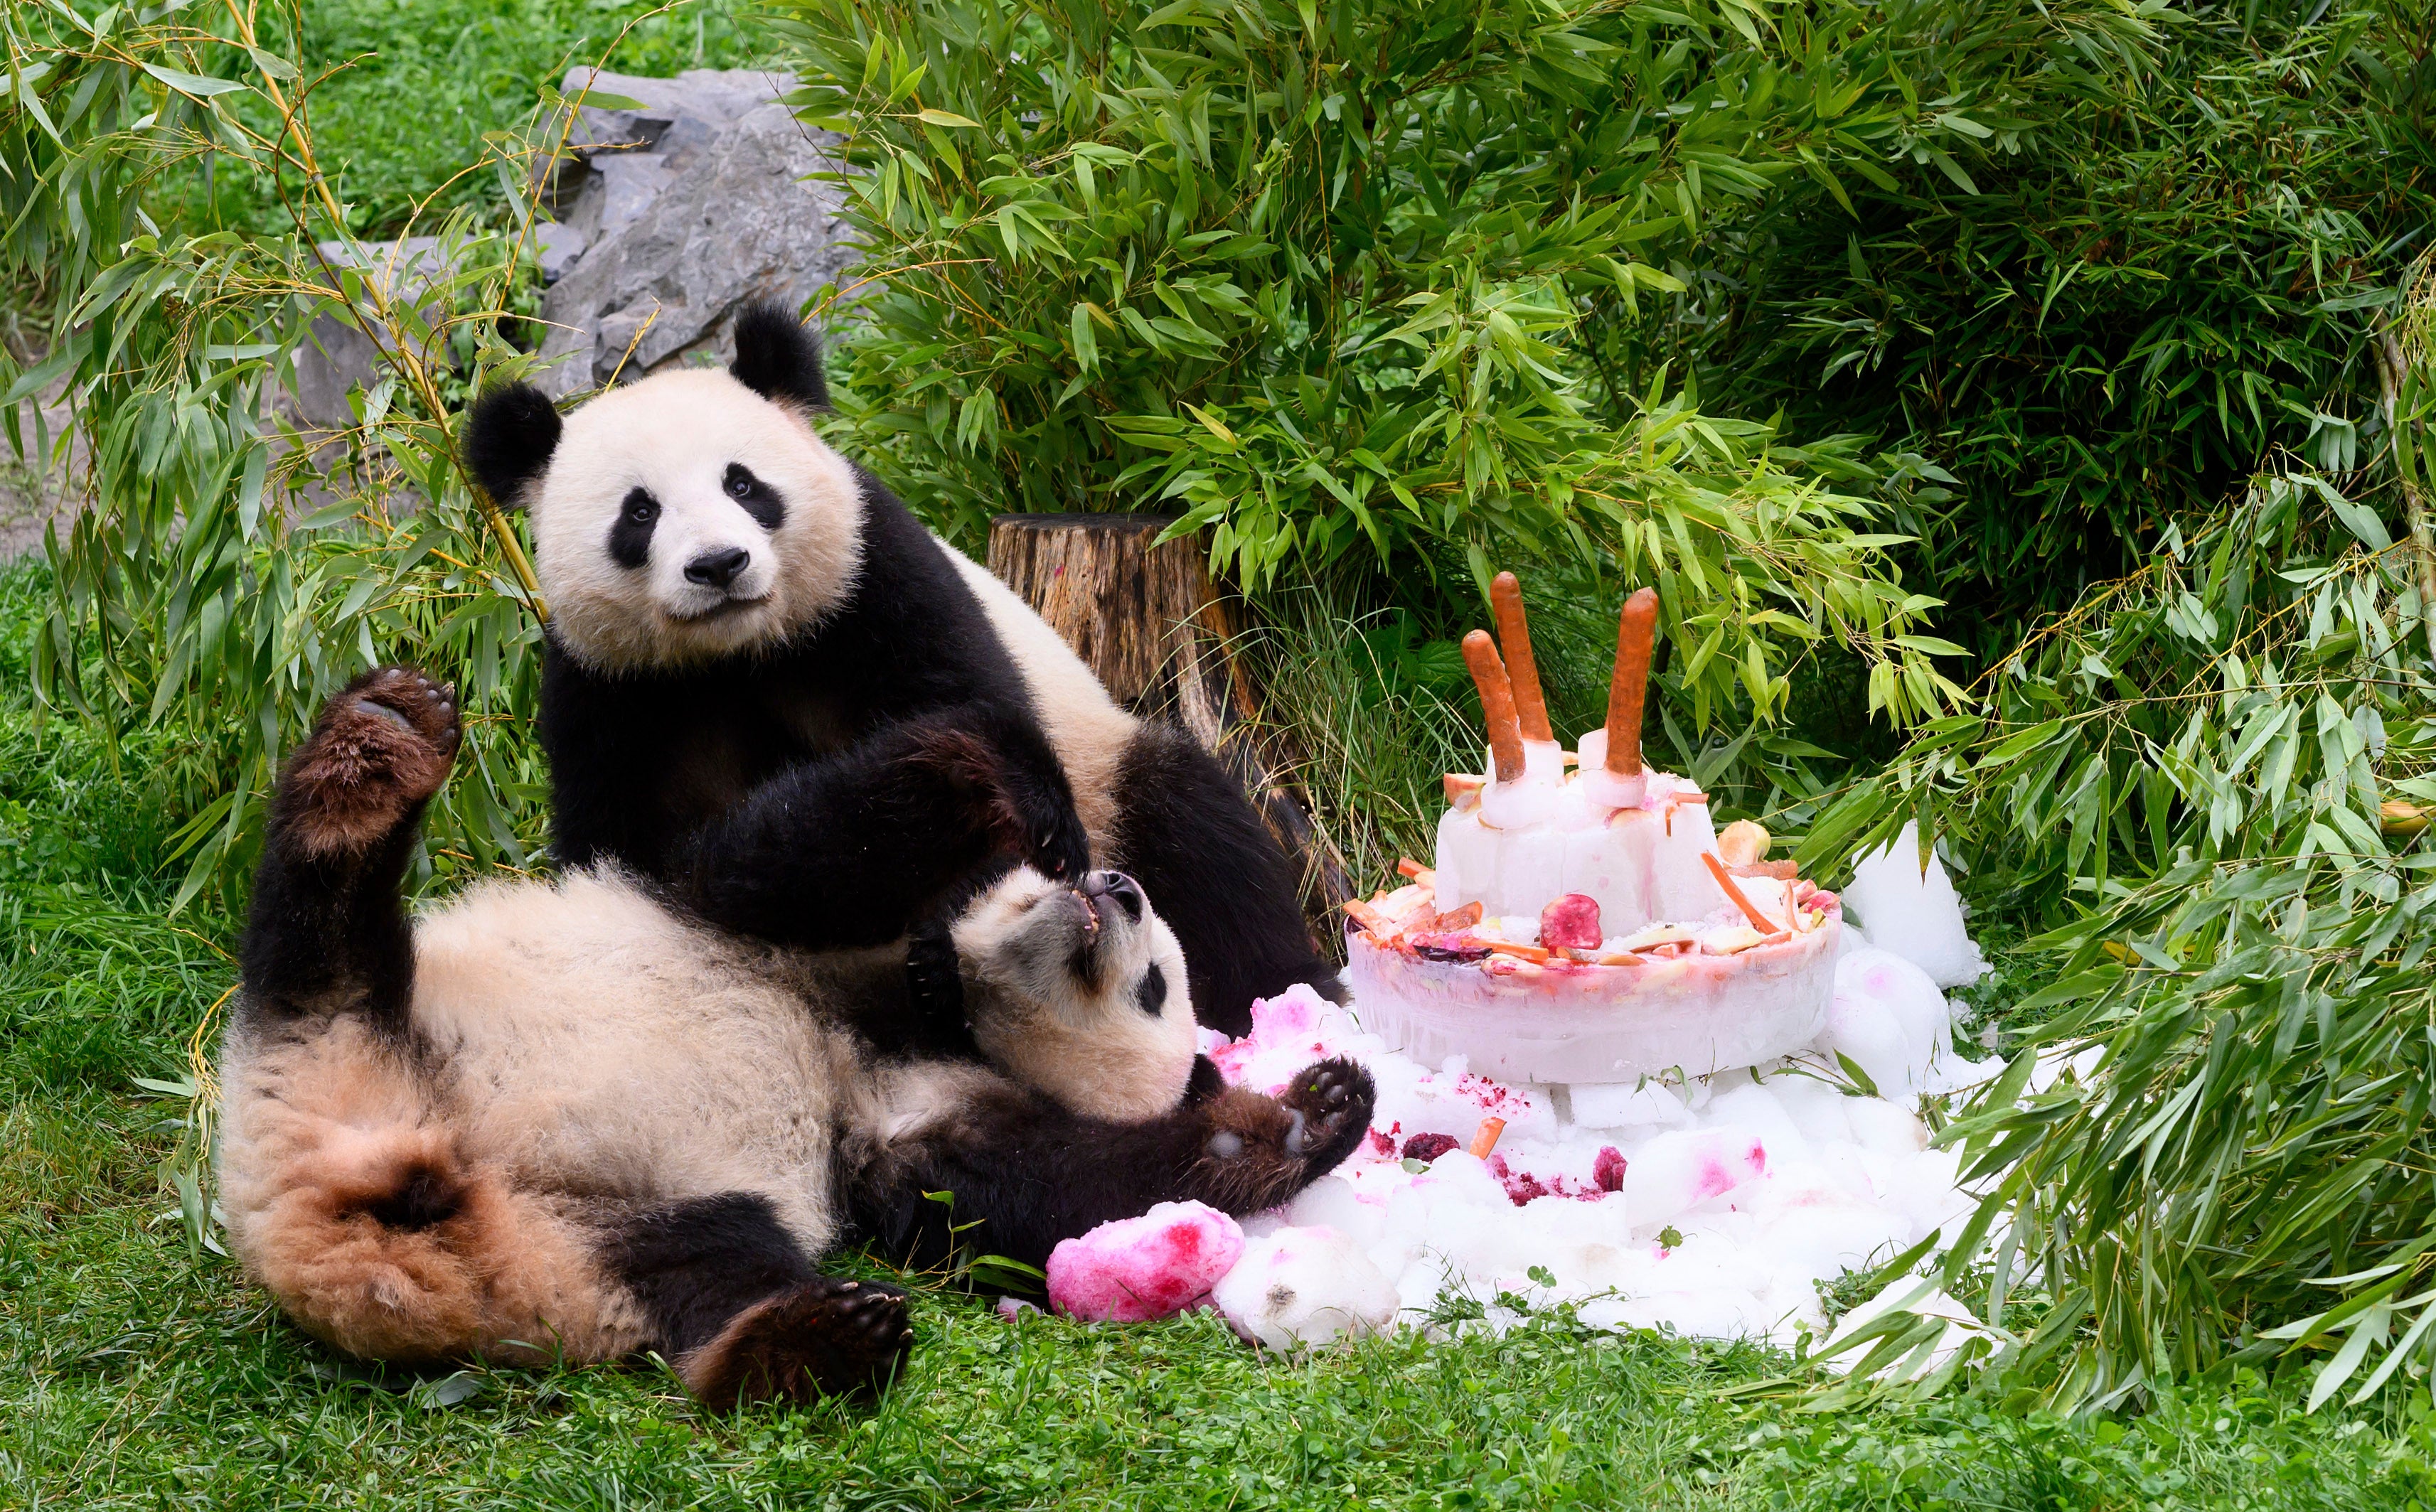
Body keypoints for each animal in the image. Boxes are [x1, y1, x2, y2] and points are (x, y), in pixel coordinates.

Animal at [221, 668, 1375, 1409]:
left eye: (1154, 985)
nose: (1119, 886)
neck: (938, 1021)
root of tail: (352, 1218)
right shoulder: (836, 941)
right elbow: (771, 861)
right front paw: (1017, 786)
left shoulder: (909, 1121)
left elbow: (1032, 1192)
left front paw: (1306, 1113)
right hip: (355, 1027)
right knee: (324, 923)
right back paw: (377, 751)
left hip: (577, 1240)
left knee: (705, 1263)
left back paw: (811, 1341)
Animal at [462, 303, 1336, 1038]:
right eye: (639, 512)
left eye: (742, 483)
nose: (718, 565)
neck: (738, 652)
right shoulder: (609, 689)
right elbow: (635, 858)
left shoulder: (876, 581)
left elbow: (972, 721)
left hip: (1110, 766)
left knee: (1196, 834)